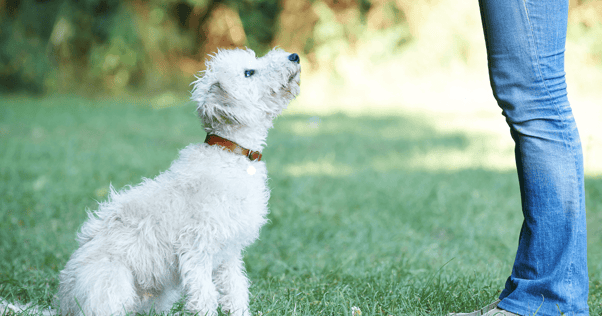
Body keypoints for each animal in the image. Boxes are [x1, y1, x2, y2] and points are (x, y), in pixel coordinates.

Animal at [55, 48, 298, 314]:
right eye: (249, 72)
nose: (294, 56)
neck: (229, 154)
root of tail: (63, 306)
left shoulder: (229, 253)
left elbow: (236, 290)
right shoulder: (197, 249)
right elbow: (205, 296)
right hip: (113, 284)